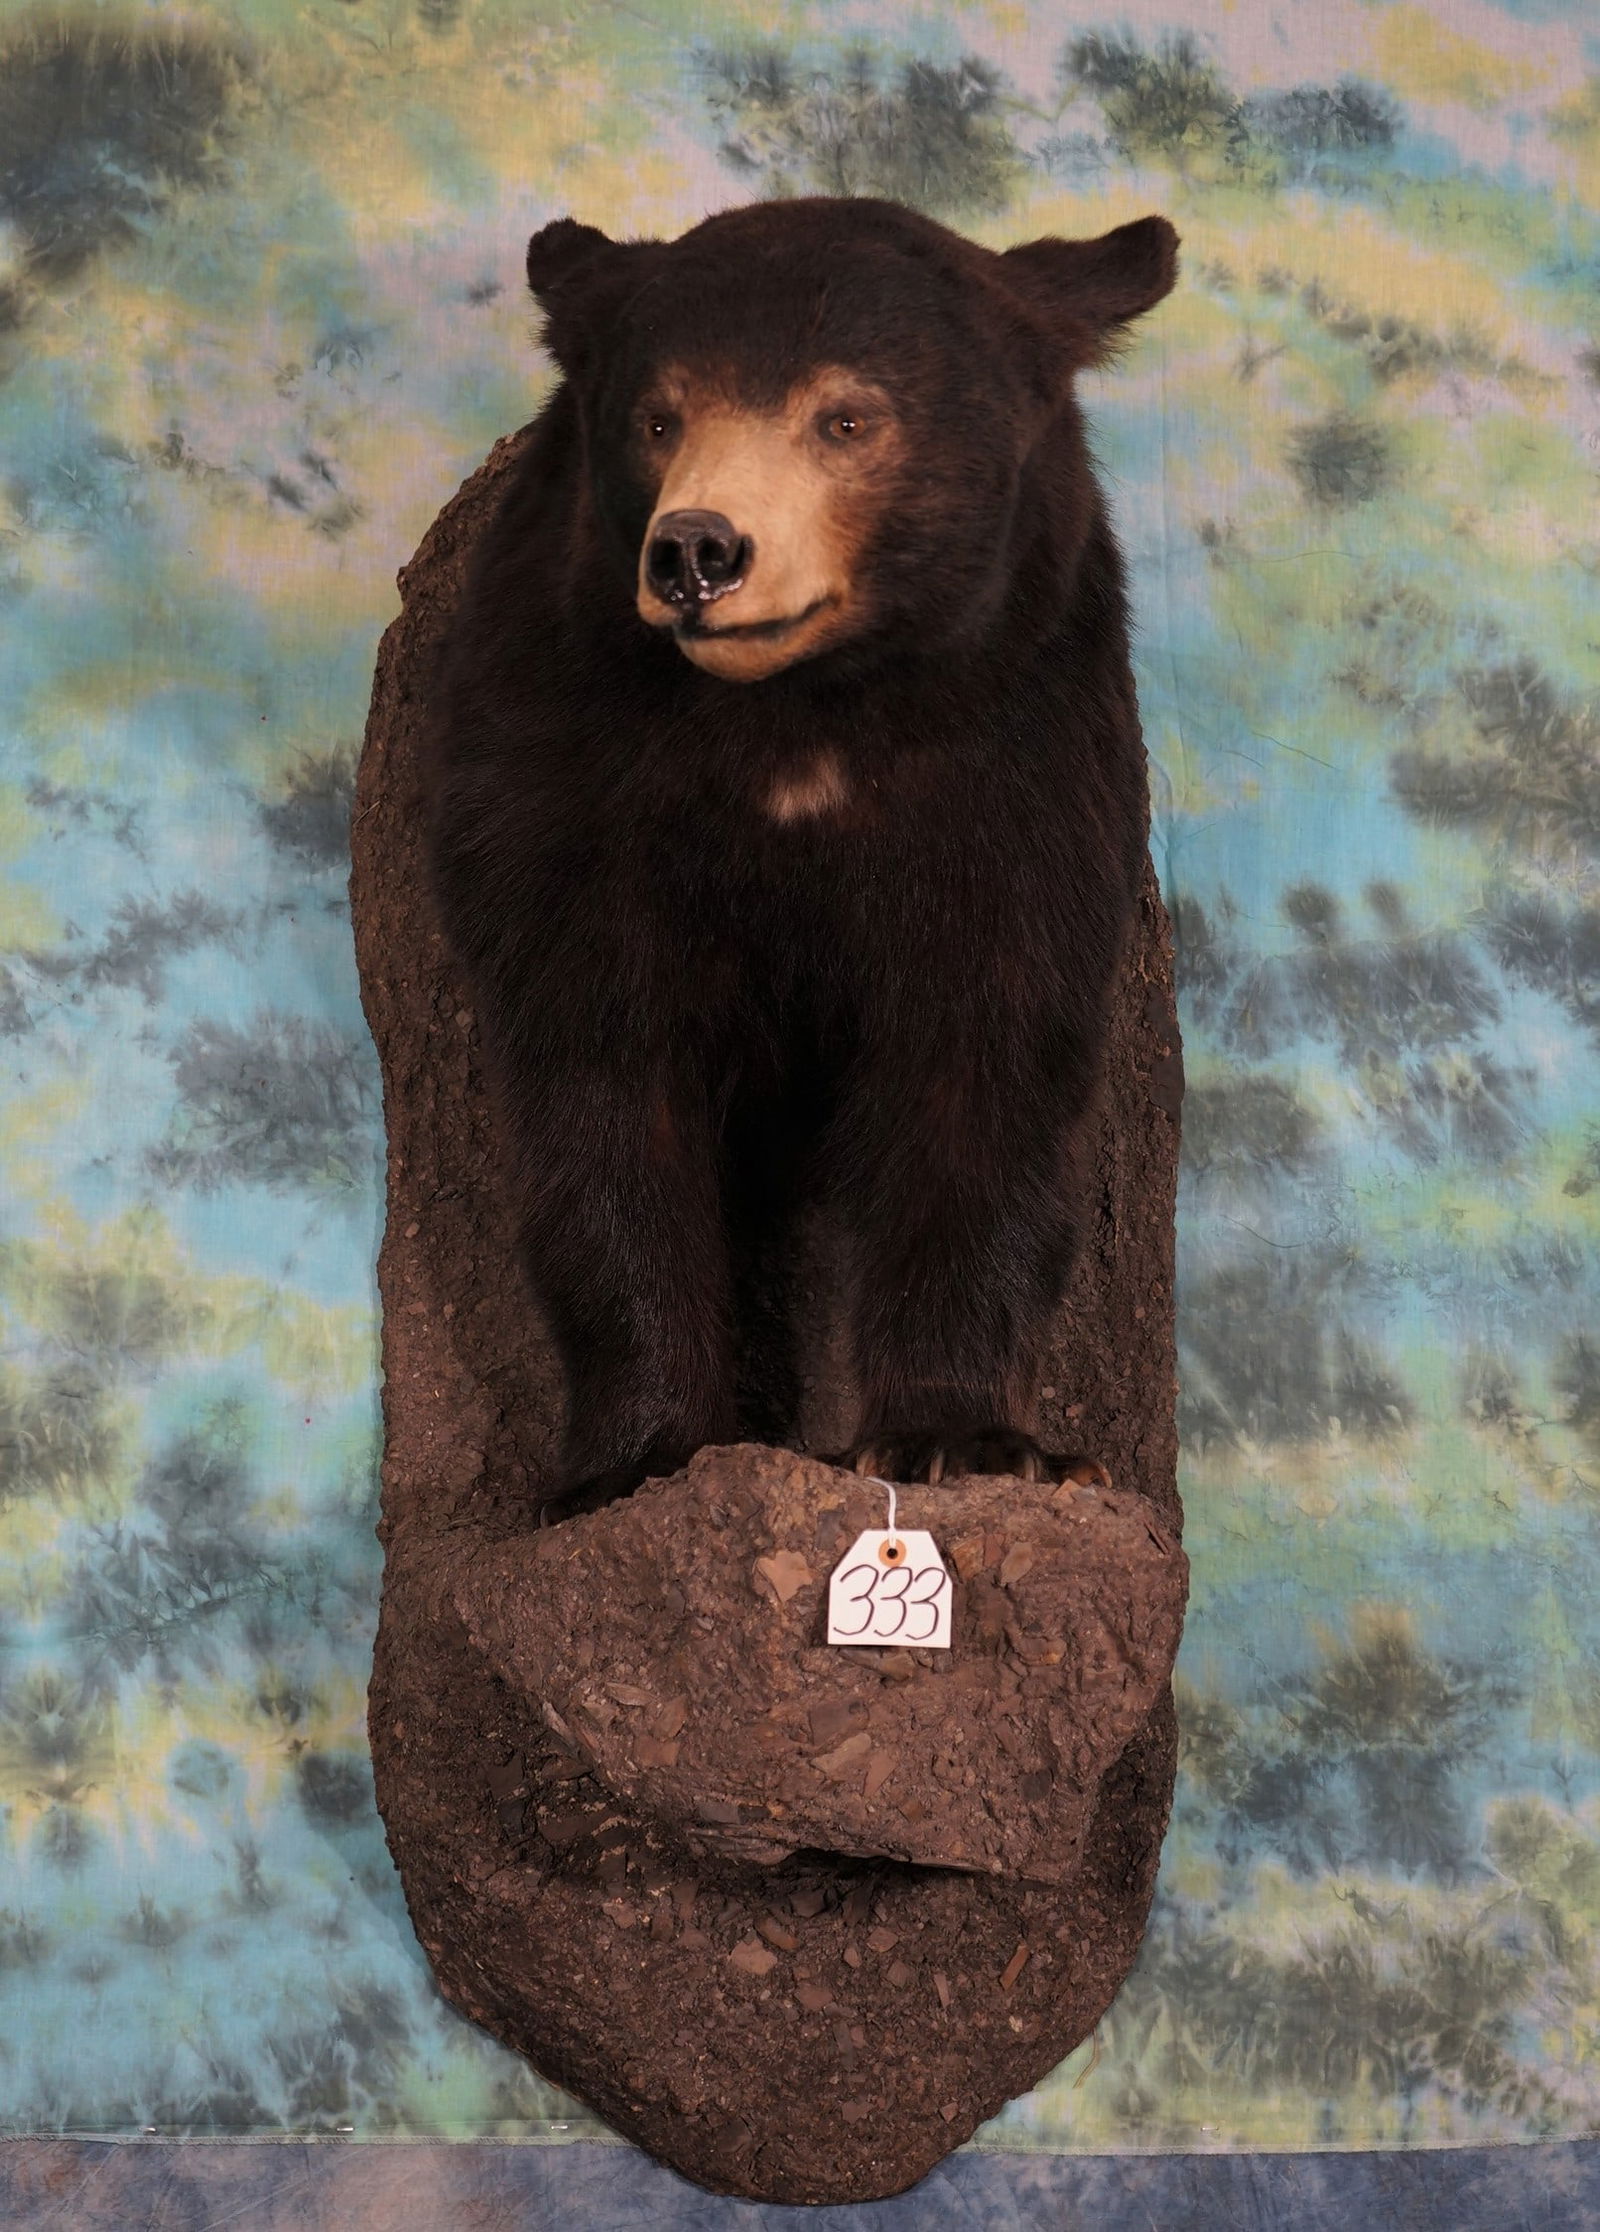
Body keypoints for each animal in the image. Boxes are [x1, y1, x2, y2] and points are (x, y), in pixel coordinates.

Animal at [427, 195, 1178, 1515]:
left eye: (846, 417)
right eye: (659, 416)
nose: (696, 552)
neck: (798, 721)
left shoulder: (1020, 762)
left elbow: (982, 1062)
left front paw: (963, 1436)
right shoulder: (560, 770)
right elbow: (601, 1081)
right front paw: (633, 1458)